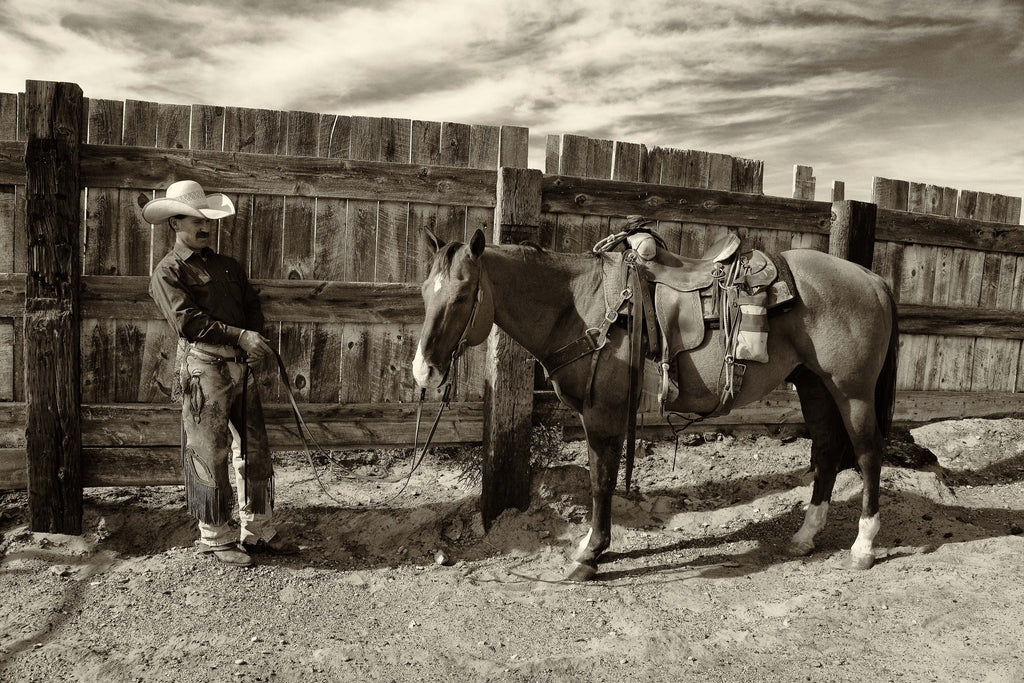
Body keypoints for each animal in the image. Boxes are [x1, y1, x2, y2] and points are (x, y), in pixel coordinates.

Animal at [412, 227, 899, 582]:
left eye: (461, 295)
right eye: (423, 293)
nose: (423, 372)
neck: (581, 305)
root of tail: (872, 279)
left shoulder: (602, 414)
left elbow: (601, 481)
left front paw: (590, 554)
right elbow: (603, 479)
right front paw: (592, 548)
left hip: (852, 390)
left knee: (868, 454)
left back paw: (863, 546)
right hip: (814, 385)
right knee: (827, 449)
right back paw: (806, 535)